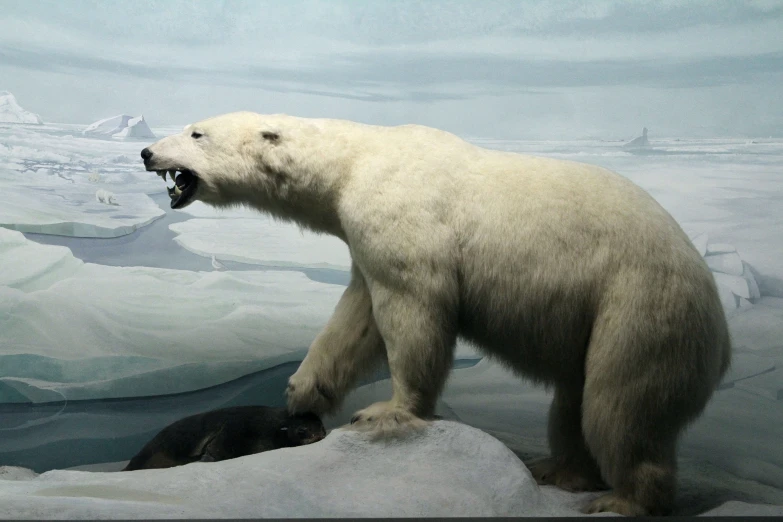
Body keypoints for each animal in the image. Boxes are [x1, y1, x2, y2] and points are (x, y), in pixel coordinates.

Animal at [141, 111, 736, 512]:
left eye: (195, 132)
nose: (147, 152)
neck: (354, 162)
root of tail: (722, 326)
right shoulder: (366, 237)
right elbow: (357, 317)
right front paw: (304, 390)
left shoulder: (403, 217)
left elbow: (413, 310)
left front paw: (385, 411)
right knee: (574, 401)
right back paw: (559, 471)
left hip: (640, 305)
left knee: (618, 405)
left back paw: (623, 499)